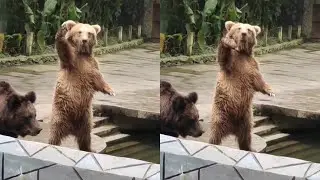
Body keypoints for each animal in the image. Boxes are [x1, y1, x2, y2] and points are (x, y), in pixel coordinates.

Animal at [48, 20, 115, 152]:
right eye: (79, 32)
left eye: (89, 33)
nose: (84, 40)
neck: (82, 54)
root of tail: (70, 129)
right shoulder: (72, 62)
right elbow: (63, 50)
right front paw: (62, 30)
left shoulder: (92, 66)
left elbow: (99, 80)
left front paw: (111, 91)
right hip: (61, 111)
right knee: (55, 131)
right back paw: (52, 144)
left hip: (86, 116)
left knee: (86, 134)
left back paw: (89, 148)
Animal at [210, 20, 276, 151]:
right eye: (239, 28)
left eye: (249, 29)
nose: (244, 34)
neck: (242, 52)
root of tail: (231, 129)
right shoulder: (232, 64)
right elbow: (223, 57)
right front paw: (228, 42)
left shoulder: (252, 65)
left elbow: (258, 81)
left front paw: (270, 91)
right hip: (221, 111)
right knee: (216, 130)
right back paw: (213, 143)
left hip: (246, 116)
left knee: (246, 134)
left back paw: (249, 148)